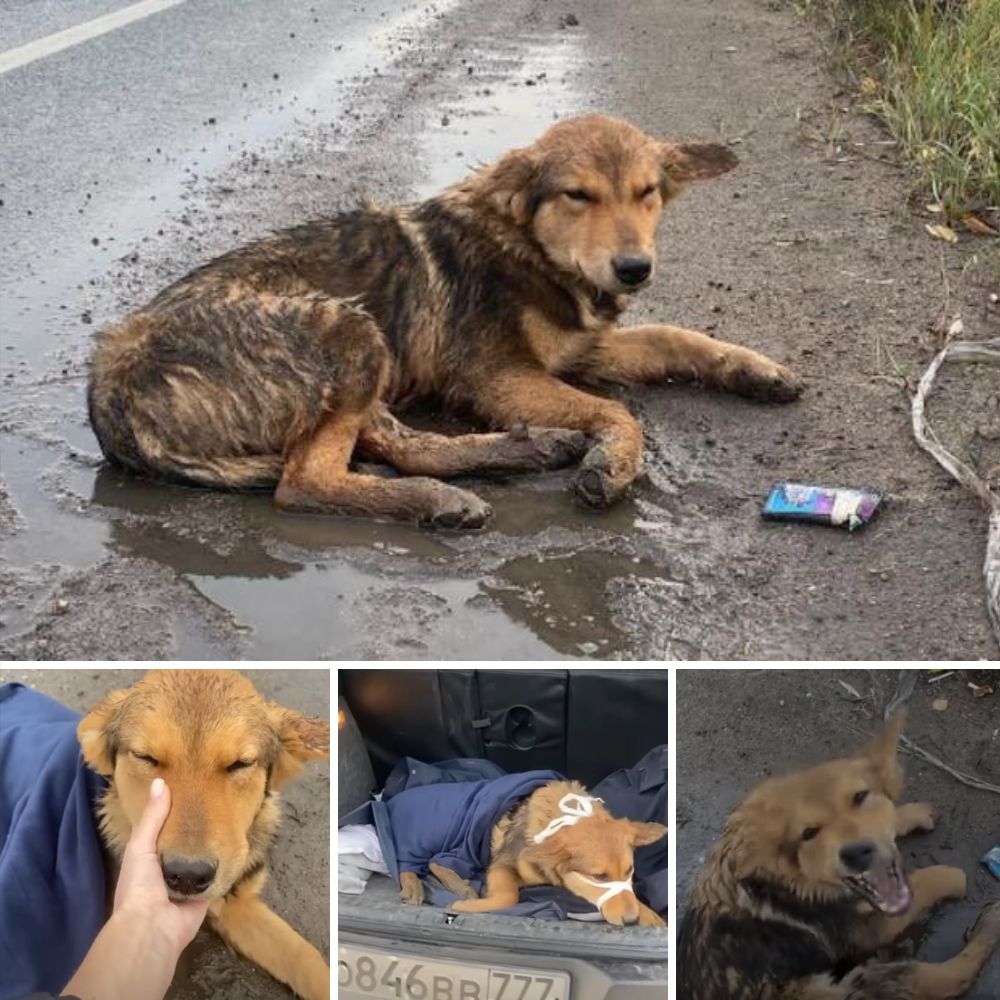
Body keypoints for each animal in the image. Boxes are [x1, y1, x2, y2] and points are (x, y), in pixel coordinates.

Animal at [88, 113, 804, 528]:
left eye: (647, 192)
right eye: (578, 195)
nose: (634, 268)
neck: (527, 246)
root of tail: (108, 386)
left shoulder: (578, 349)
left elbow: (674, 335)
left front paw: (755, 368)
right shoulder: (497, 375)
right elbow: (618, 411)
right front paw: (616, 463)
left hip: (367, 359)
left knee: (400, 446)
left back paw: (526, 449)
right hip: (348, 333)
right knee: (305, 481)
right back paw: (439, 499)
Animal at [398, 776, 664, 924]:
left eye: (629, 871)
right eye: (598, 876)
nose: (631, 921)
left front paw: (652, 916)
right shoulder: (501, 865)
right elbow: (509, 896)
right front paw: (466, 906)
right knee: (420, 861)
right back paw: (429, 886)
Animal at [680, 712, 1000, 1000]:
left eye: (860, 797)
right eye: (808, 833)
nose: (856, 853)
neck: (790, 872)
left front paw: (911, 814)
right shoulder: (866, 928)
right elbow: (926, 881)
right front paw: (952, 877)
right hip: (856, 986)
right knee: (948, 977)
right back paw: (989, 924)